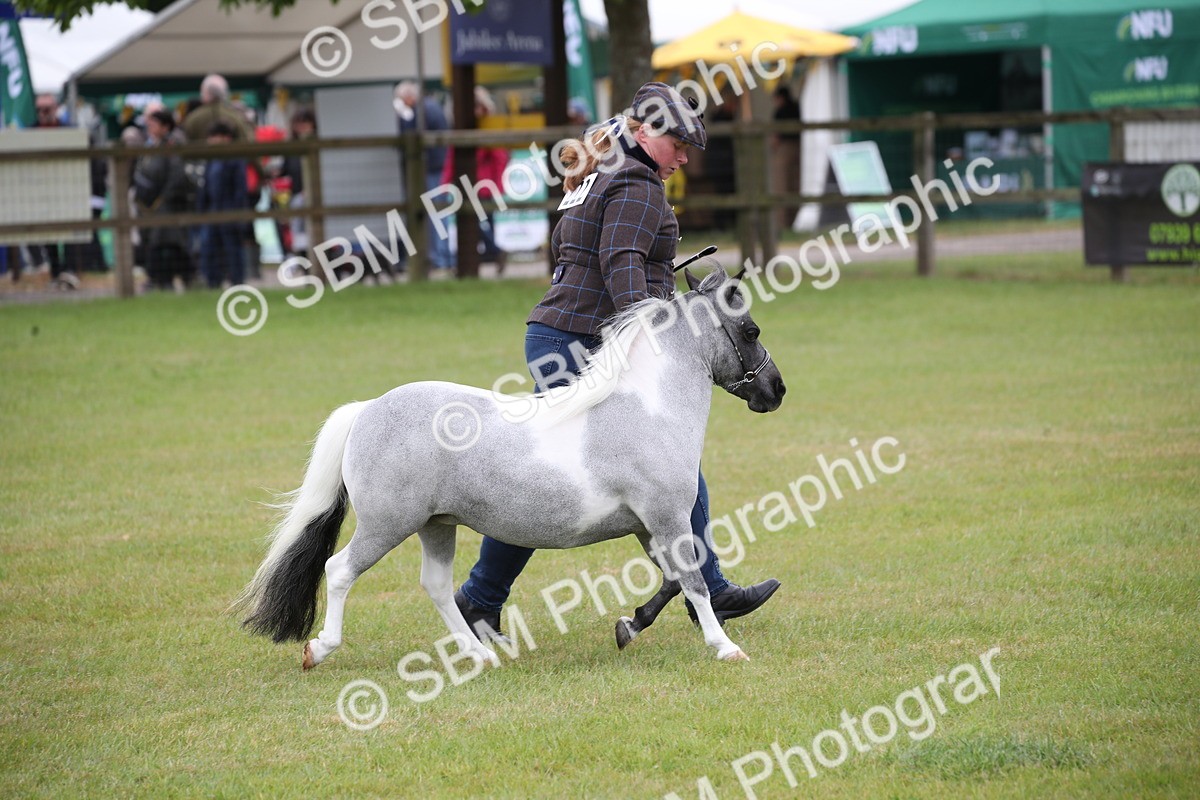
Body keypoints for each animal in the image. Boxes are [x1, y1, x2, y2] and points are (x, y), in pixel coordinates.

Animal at [236, 266, 786, 669]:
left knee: (437, 588)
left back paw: (480, 654)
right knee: (340, 570)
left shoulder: (648, 528)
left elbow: (675, 581)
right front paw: (726, 648)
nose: (776, 390)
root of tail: (368, 409)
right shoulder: (667, 519)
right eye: (751, 329)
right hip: (386, 524)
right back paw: (318, 649)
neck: (648, 410)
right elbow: (694, 582)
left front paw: (628, 626)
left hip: (436, 525)